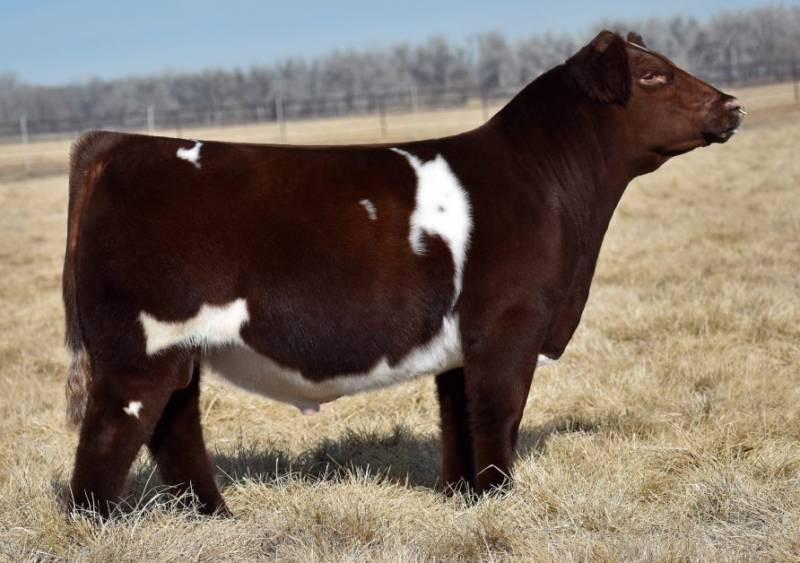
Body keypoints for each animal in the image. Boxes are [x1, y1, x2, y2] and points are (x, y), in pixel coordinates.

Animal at [62, 30, 744, 517]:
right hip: (137, 351)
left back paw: (215, 517)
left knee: (175, 429)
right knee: (111, 437)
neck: (542, 183)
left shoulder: (460, 348)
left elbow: (458, 420)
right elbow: (499, 415)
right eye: (653, 75)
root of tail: (120, 144)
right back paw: (101, 525)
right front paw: (501, 499)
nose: (732, 105)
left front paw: (465, 499)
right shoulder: (509, 328)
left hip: (179, 351)